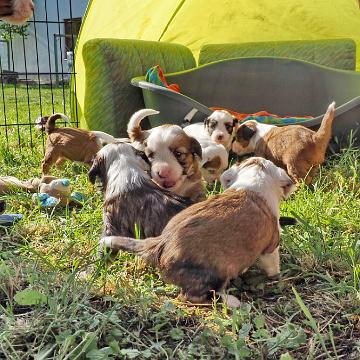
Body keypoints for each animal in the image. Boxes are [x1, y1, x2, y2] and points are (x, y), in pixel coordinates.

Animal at [99, 157, 296, 306]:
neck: (254, 180)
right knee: (192, 296)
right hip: (214, 274)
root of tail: (160, 243)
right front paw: (277, 276)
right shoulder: (271, 246)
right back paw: (230, 301)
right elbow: (273, 264)